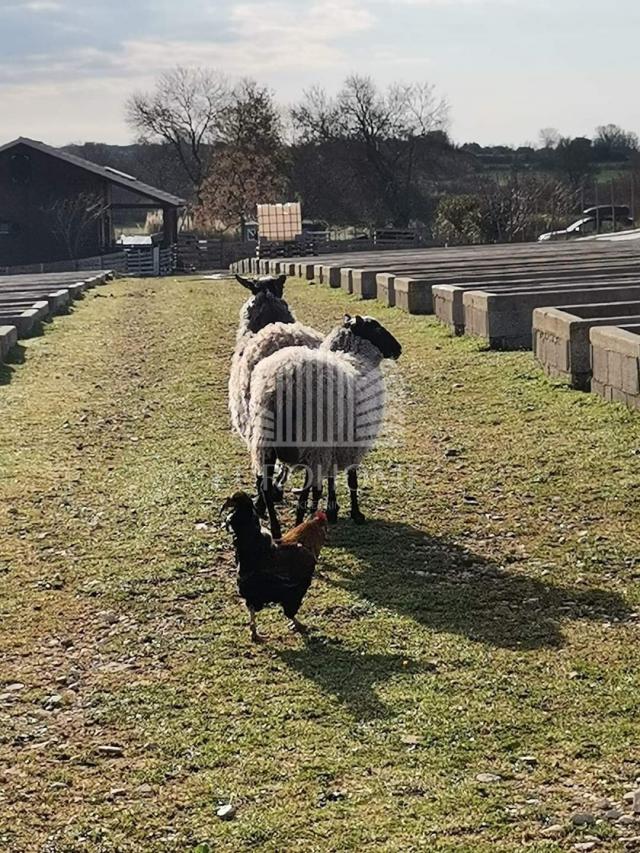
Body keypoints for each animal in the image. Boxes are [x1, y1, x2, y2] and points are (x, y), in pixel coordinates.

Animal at [245, 316, 400, 536]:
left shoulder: (335, 443)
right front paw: (356, 513)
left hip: (265, 441)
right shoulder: (352, 443)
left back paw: (276, 529)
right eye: (376, 328)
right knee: (304, 494)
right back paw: (298, 524)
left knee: (267, 487)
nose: (398, 349)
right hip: (313, 442)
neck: (355, 357)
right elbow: (351, 480)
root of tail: (281, 382)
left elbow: (331, 477)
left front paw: (332, 509)